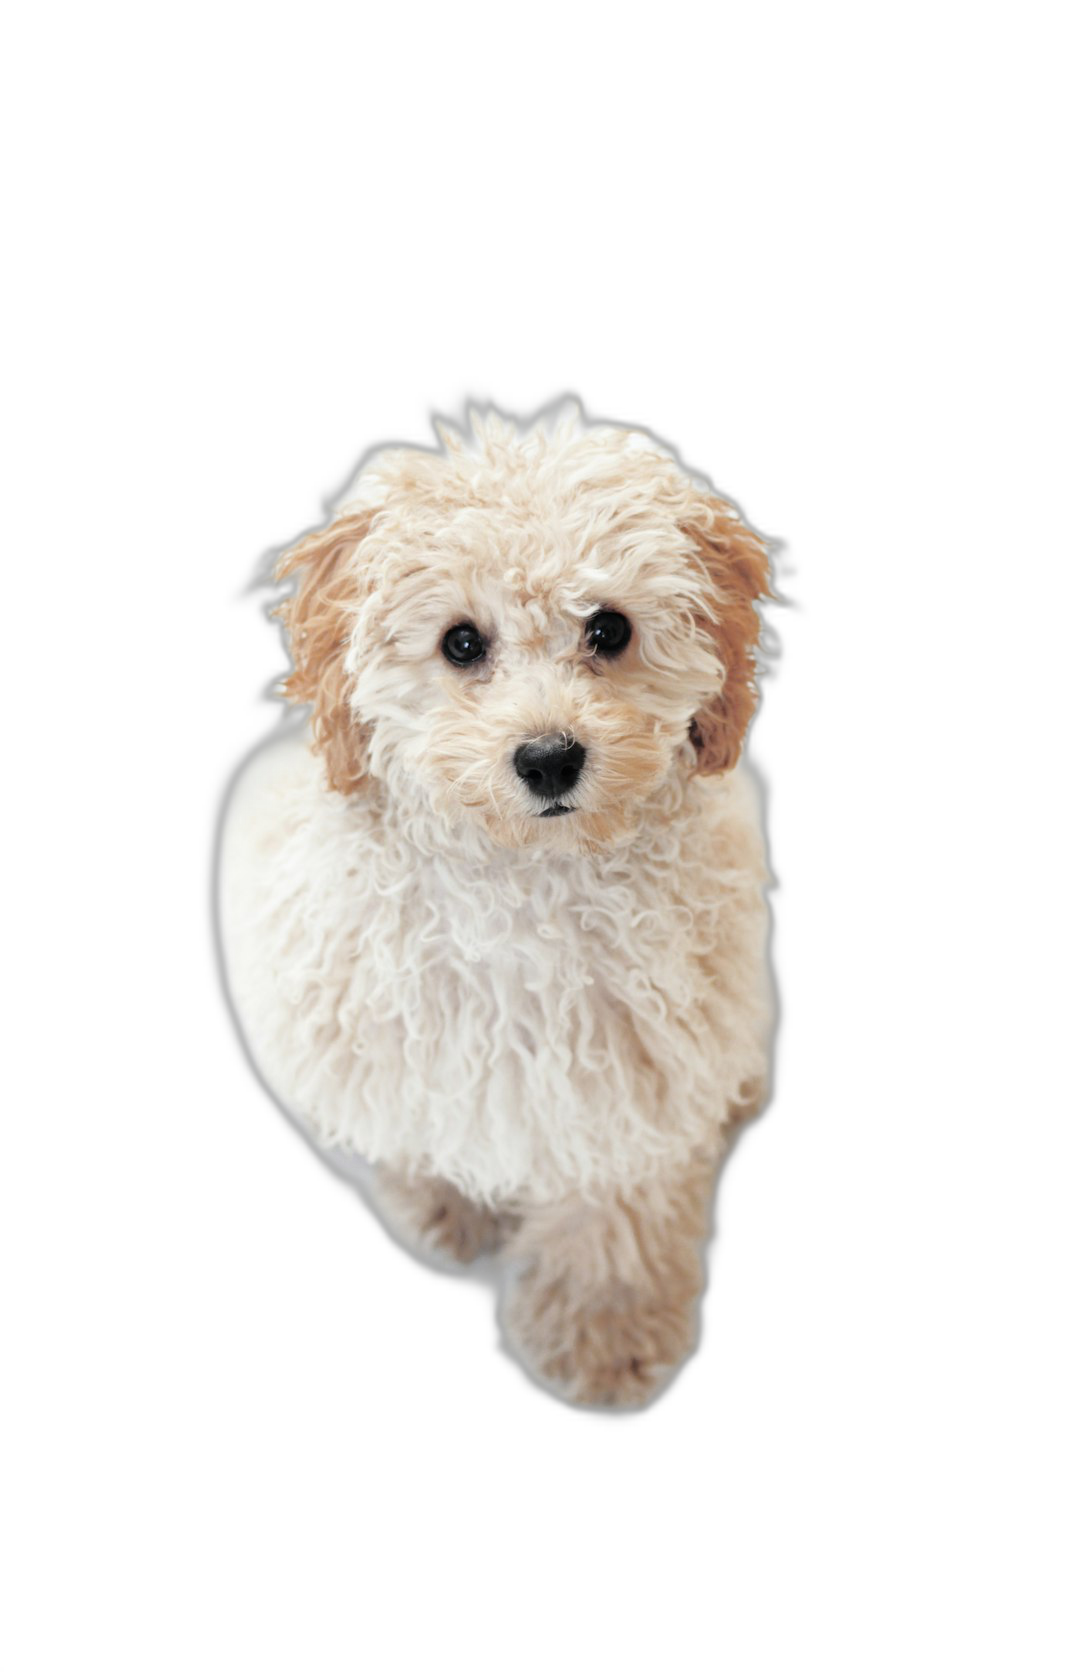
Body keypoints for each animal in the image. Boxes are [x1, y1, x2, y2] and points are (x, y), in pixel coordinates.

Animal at [215, 394, 782, 1411]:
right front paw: (444, 1203)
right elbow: (417, 1124)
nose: (550, 758)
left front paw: (602, 1330)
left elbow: (619, 1200)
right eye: (461, 642)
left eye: (609, 629)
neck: (528, 884)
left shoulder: (641, 1064)